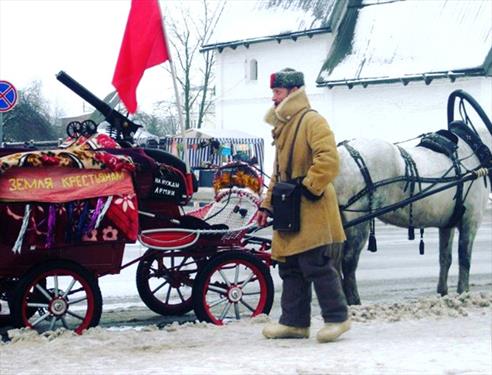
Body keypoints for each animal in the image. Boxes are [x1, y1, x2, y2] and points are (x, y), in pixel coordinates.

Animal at [334, 92, 492, 306]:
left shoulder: (448, 224)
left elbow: (446, 258)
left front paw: (443, 293)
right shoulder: (471, 220)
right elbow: (464, 258)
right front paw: (463, 293)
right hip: (357, 221)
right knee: (348, 263)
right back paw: (355, 303)